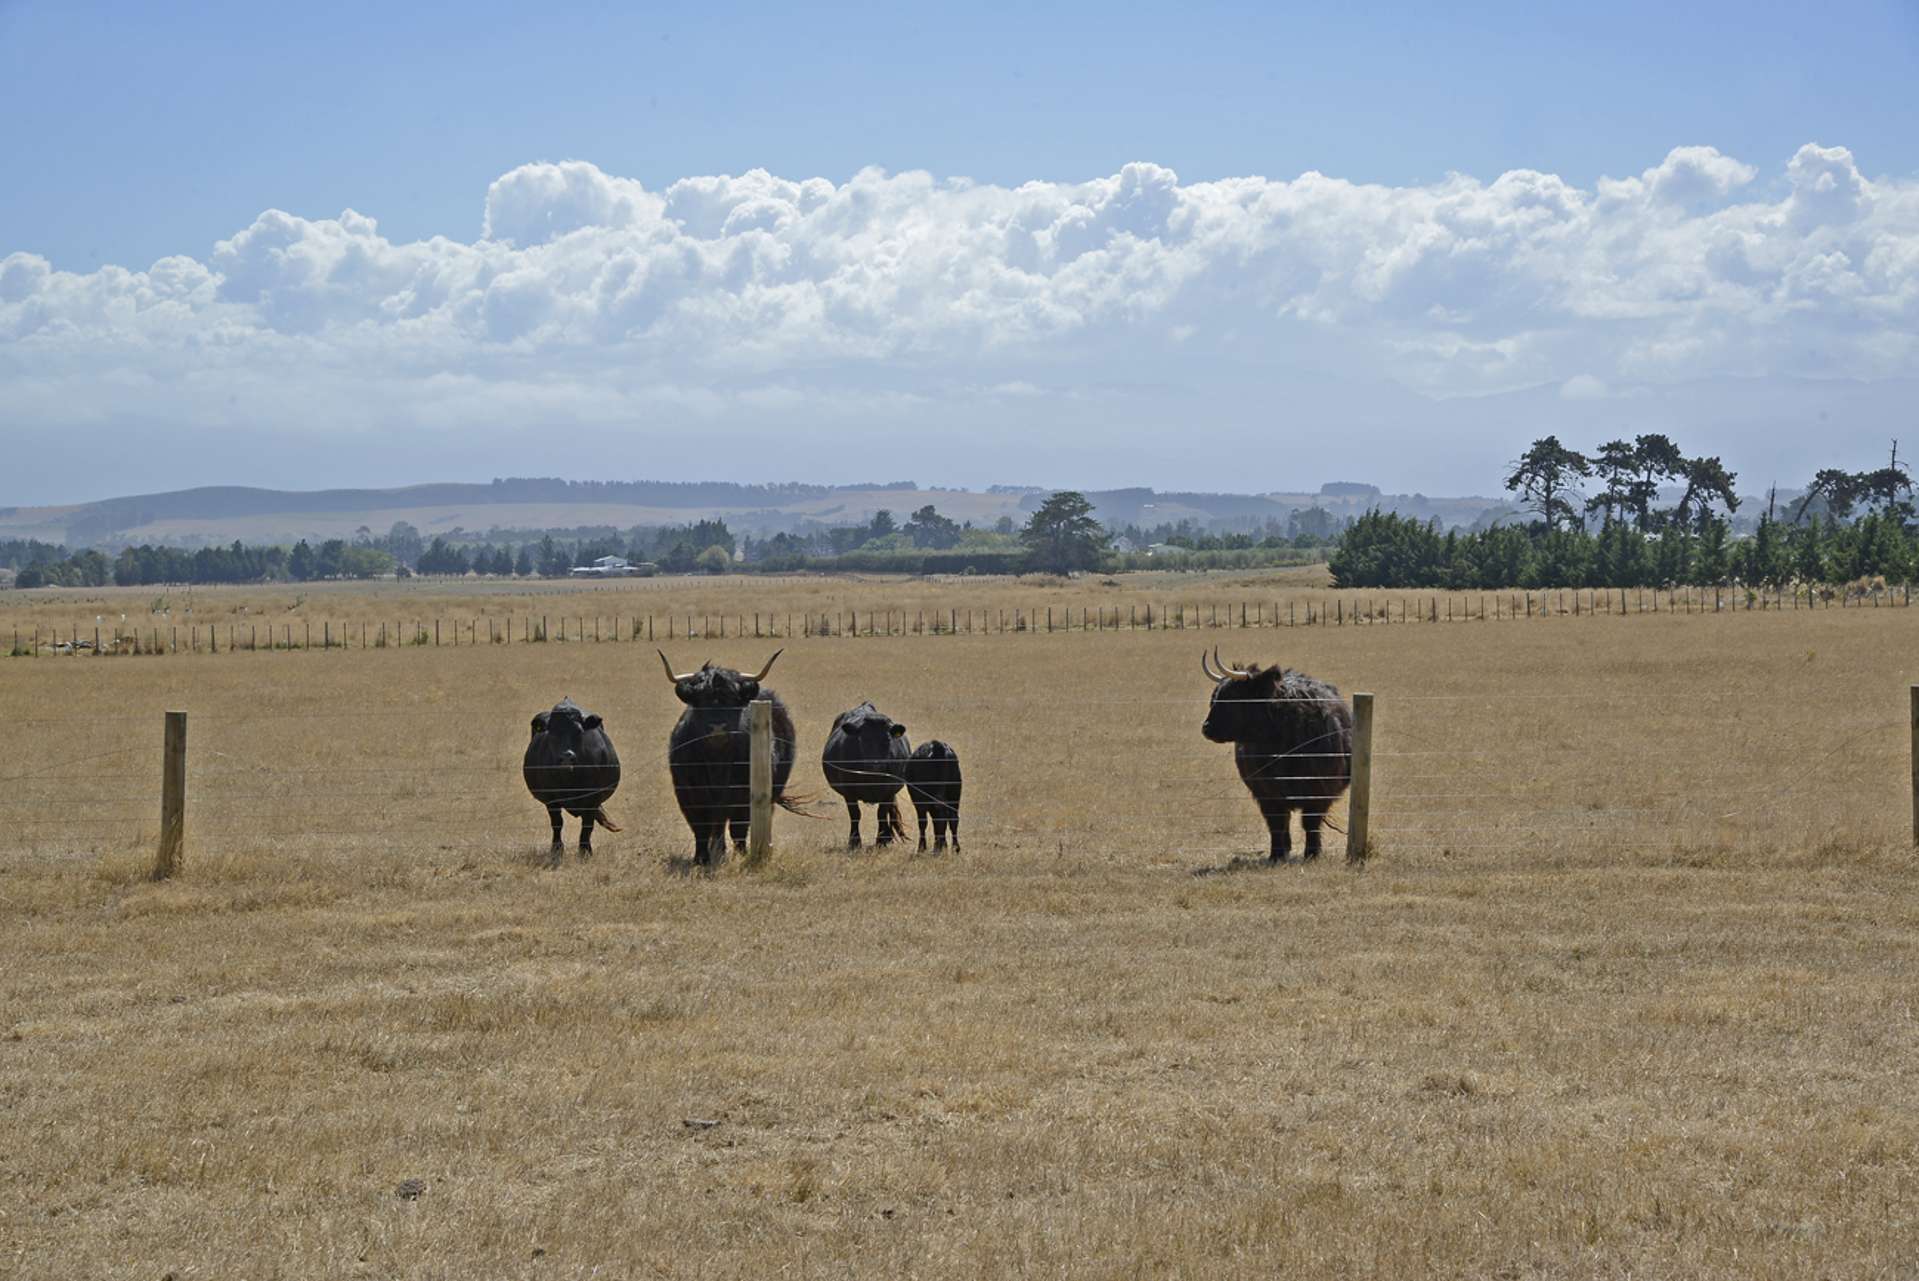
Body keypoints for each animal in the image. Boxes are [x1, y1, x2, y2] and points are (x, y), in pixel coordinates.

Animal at [521, 694, 617, 866]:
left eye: (578, 731)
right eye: (552, 732)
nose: (567, 756)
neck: (569, 779)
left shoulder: (592, 799)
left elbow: (587, 826)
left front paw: (585, 852)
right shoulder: (551, 800)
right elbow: (557, 823)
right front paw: (556, 851)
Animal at [660, 644, 794, 866]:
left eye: (732, 699)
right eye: (701, 701)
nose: (717, 727)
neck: (717, 763)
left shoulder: (744, 795)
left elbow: (738, 828)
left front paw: (741, 855)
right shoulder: (689, 794)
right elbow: (700, 828)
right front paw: (701, 858)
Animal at [817, 705, 913, 843]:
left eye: (887, 740)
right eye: (862, 739)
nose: (875, 765)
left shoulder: (889, 790)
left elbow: (881, 813)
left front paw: (882, 840)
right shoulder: (849, 791)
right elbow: (855, 814)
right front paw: (854, 841)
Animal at [1197, 644, 1350, 866]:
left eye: (1232, 698)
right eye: (1214, 697)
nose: (1206, 728)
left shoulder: (1319, 789)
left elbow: (1310, 822)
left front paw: (1312, 853)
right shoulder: (1266, 792)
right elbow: (1277, 823)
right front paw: (1277, 854)